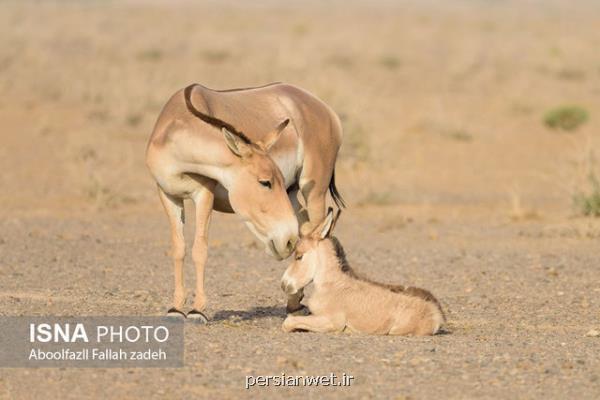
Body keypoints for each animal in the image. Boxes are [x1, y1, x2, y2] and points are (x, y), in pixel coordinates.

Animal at [278, 208, 442, 336]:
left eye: (299, 256)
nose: (284, 284)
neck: (332, 284)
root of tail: (438, 313)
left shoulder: (332, 321)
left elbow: (288, 322)